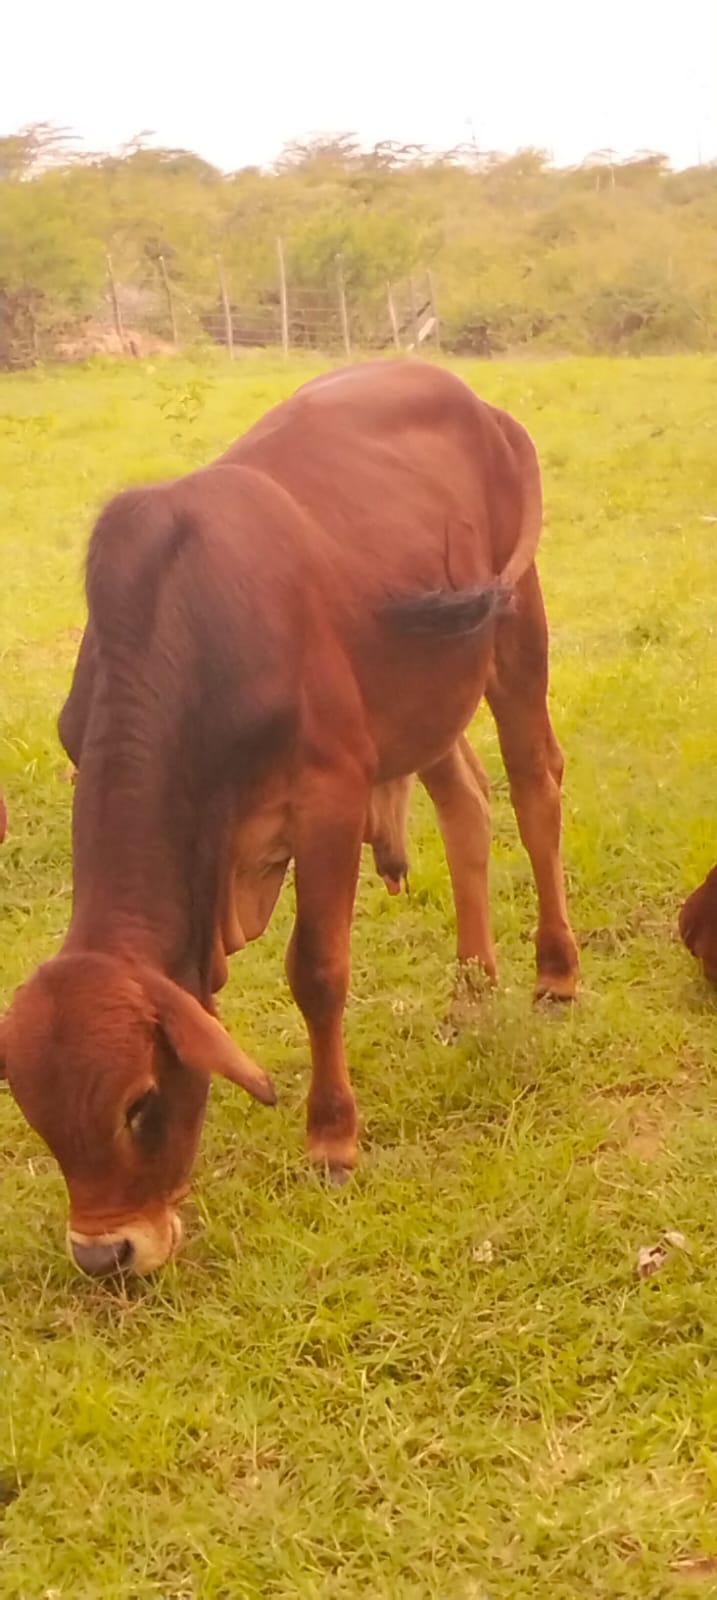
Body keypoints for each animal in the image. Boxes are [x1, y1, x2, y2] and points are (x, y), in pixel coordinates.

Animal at [0, 359, 579, 1277]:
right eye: (38, 1118)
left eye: (139, 1103)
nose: (104, 1253)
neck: (195, 638)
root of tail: (481, 405)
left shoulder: (329, 795)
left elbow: (316, 970)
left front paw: (331, 1141)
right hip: (422, 696)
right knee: (464, 798)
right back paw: (470, 984)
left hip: (515, 628)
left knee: (532, 790)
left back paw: (555, 973)